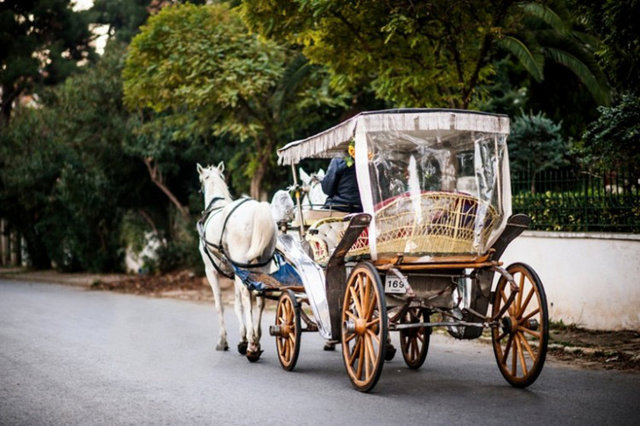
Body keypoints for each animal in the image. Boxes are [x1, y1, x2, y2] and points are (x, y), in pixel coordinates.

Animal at [198, 161, 278, 362]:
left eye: (202, 180)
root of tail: (257, 209)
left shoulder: (210, 271)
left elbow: (220, 305)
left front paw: (224, 341)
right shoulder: (235, 272)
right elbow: (237, 304)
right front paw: (242, 338)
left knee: (247, 294)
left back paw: (252, 344)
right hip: (262, 264)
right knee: (260, 296)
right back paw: (256, 338)